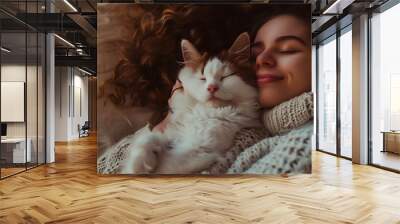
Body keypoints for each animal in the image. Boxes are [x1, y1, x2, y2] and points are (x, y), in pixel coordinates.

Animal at [122, 32, 260, 174]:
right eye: (202, 78)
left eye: (225, 77)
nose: (212, 88)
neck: (205, 113)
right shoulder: (171, 130)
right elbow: (149, 138)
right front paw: (138, 165)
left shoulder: (200, 151)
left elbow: (165, 167)